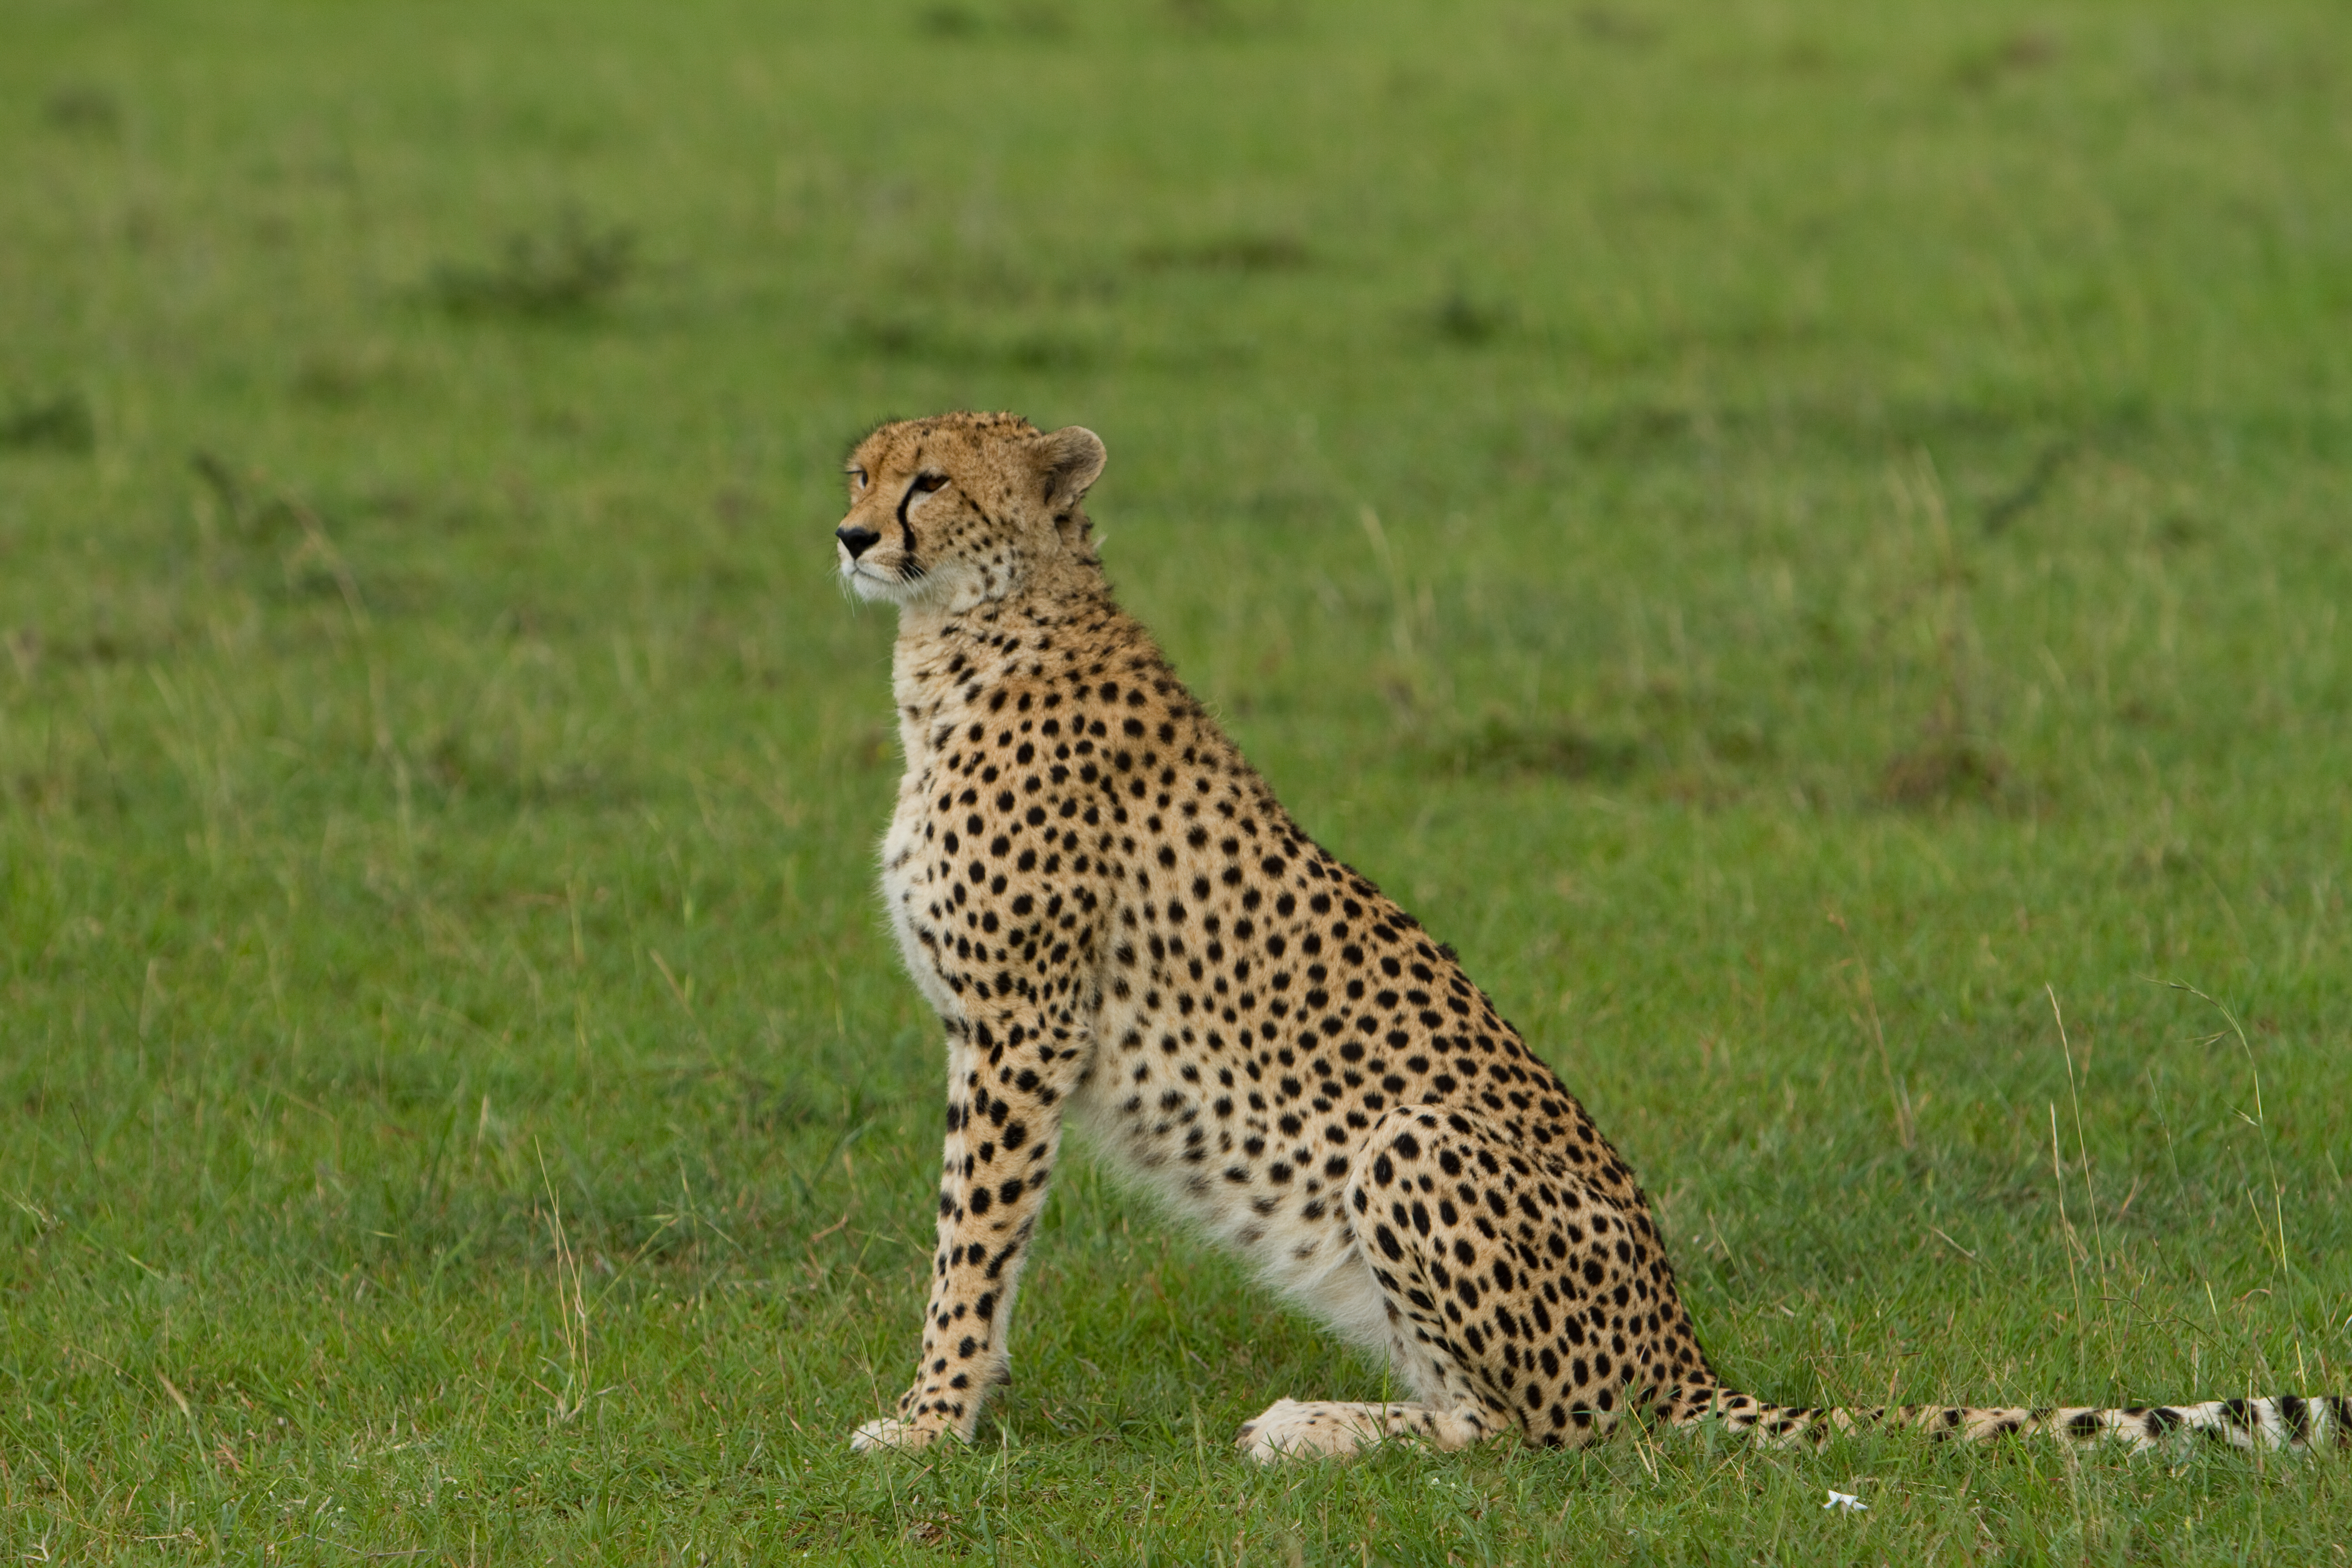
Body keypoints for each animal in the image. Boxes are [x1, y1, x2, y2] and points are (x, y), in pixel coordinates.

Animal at [832, 410, 2347, 1462]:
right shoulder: (1004, 1034)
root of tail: (1682, 1342)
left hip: (1414, 1145)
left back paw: (1316, 1429)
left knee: (1549, 1434)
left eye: (929, 484)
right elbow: (991, 1240)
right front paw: (963, 1405)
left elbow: (969, 1241)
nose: (847, 539)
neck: (967, 636)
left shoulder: (1022, 1027)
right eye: (859, 472)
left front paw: (929, 1422)